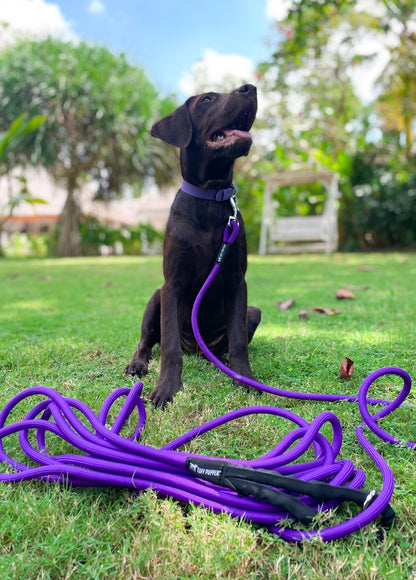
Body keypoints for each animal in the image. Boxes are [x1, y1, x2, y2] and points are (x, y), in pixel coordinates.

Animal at [123, 84, 260, 406]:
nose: (249, 88)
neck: (211, 196)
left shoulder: (237, 281)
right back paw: (138, 363)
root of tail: (196, 347)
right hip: (155, 299)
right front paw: (167, 387)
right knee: (147, 341)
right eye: (208, 99)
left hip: (253, 312)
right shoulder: (171, 284)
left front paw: (243, 377)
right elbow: (169, 345)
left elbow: (238, 341)